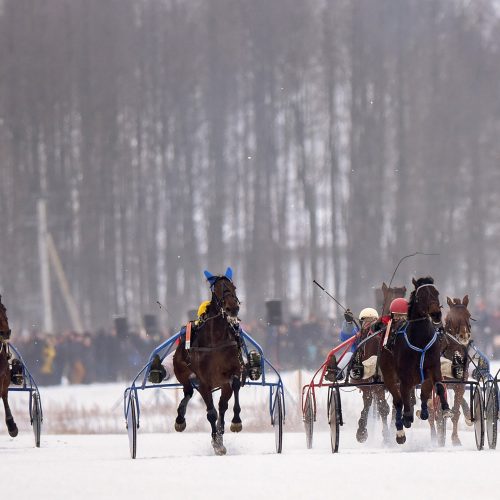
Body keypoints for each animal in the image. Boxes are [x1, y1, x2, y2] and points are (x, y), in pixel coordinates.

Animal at [172, 268, 242, 456]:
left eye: (233, 287)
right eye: (217, 290)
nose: (233, 307)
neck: (216, 340)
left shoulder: (232, 371)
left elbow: (235, 386)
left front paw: (235, 421)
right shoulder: (203, 381)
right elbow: (211, 413)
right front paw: (217, 443)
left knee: (221, 405)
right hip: (180, 370)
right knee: (188, 391)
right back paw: (180, 419)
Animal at [378, 276, 450, 444]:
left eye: (436, 292)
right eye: (421, 296)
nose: (436, 314)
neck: (420, 340)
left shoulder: (433, 366)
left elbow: (438, 386)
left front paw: (445, 409)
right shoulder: (404, 375)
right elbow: (403, 397)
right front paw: (406, 418)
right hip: (388, 373)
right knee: (398, 401)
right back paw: (400, 429)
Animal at [426, 294, 472, 444]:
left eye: (468, 315)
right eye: (451, 318)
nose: (464, 335)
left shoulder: (460, 384)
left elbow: (456, 410)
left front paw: (455, 438)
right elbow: (438, 411)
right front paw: (440, 437)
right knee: (430, 410)